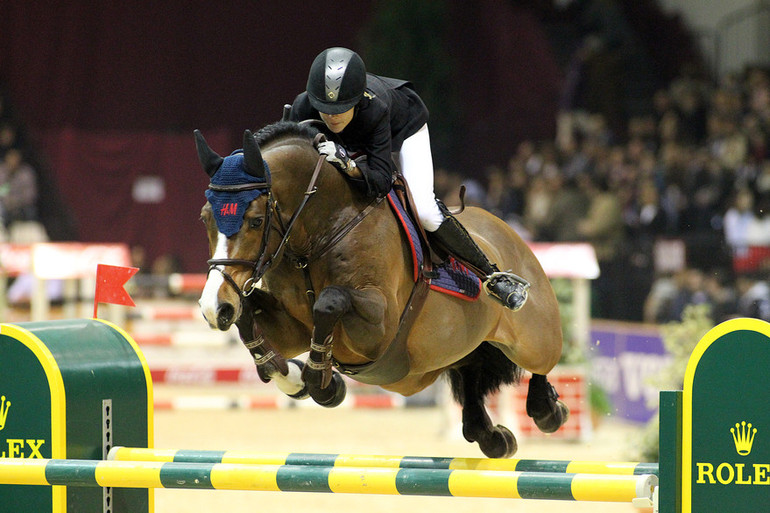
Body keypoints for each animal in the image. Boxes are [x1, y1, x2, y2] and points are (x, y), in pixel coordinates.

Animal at [194, 121, 564, 456]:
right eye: (205, 218)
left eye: (255, 220)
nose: (214, 308)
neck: (319, 233)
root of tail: (506, 229)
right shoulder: (291, 329)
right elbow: (250, 321)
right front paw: (296, 380)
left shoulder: (379, 329)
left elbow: (329, 301)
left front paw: (320, 383)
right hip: (449, 355)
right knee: (470, 370)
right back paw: (492, 437)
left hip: (533, 339)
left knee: (543, 363)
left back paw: (547, 409)